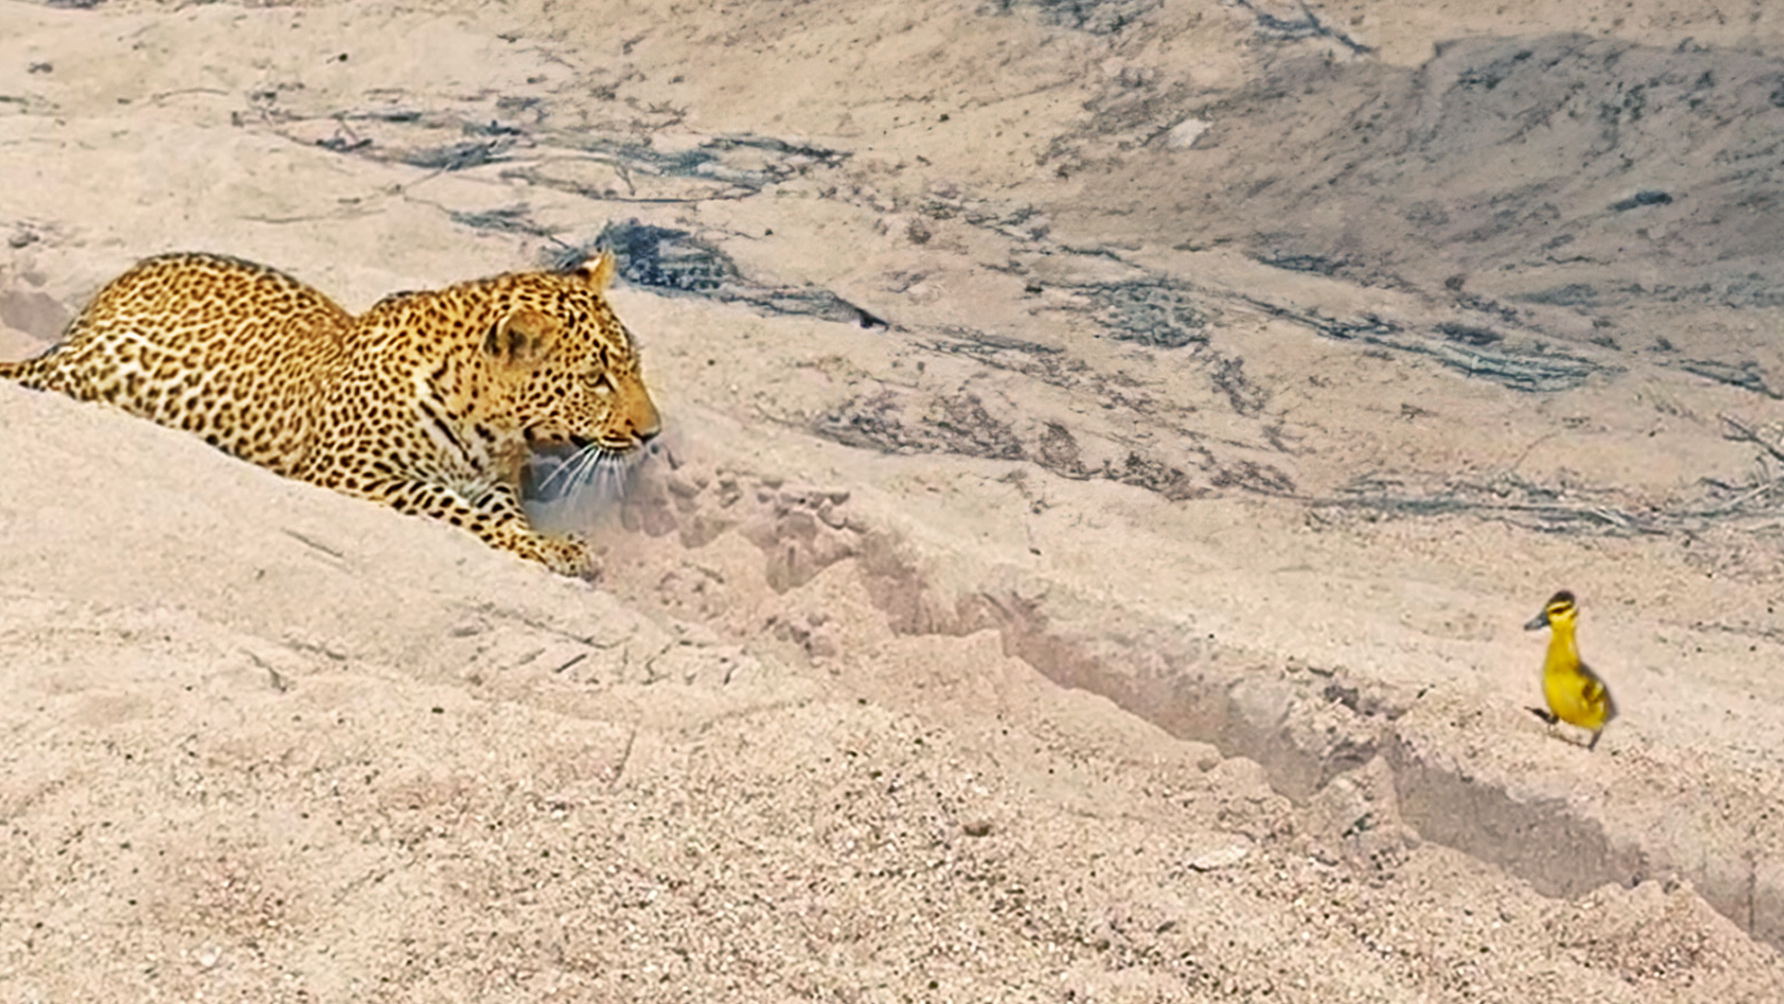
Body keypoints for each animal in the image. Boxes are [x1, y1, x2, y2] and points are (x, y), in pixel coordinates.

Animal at [0, 255, 663, 577]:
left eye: (634, 364)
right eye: (596, 379)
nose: (652, 434)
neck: (488, 427)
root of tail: (77, 326)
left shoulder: (495, 480)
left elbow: (499, 514)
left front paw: (548, 544)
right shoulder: (350, 473)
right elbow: (448, 508)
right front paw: (547, 548)